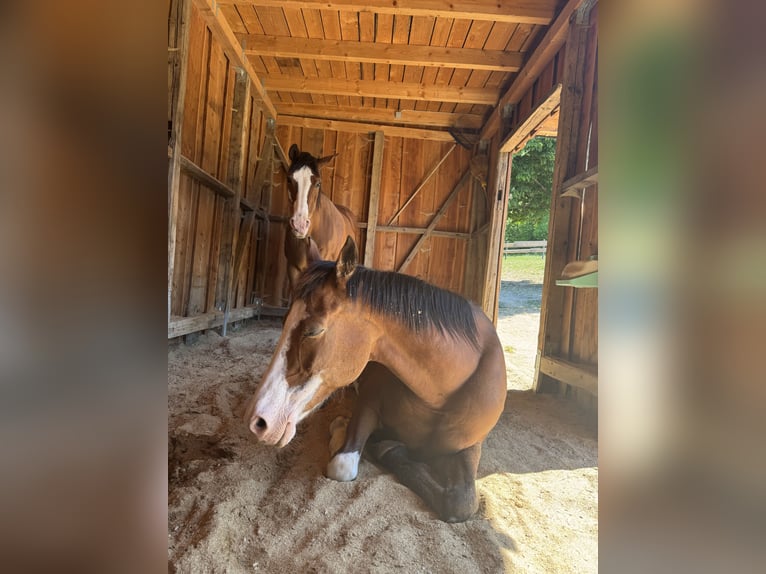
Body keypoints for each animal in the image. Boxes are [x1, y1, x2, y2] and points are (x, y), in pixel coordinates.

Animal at [245, 236, 507, 522]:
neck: (438, 398)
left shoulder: (470, 446)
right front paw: (348, 433)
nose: (258, 422)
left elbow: (462, 504)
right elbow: (343, 465)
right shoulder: (367, 404)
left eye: (313, 331)